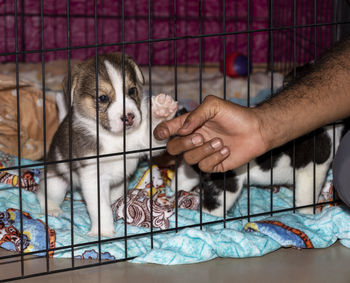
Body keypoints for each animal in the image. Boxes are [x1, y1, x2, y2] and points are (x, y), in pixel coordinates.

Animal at [37, 53, 178, 237]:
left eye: (132, 90)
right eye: (102, 98)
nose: (129, 117)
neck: (114, 138)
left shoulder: (145, 142)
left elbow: (153, 136)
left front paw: (161, 110)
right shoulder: (93, 178)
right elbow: (100, 209)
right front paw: (103, 232)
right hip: (56, 184)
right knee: (42, 193)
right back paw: (52, 209)